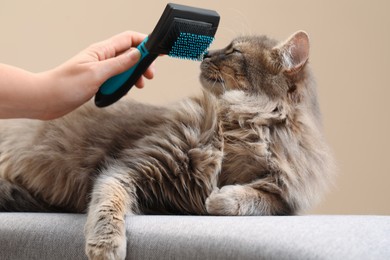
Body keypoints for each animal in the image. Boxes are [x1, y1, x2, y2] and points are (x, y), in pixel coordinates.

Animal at [0, 31, 336, 260]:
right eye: (227, 46)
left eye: (234, 51)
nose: (206, 53)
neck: (243, 127)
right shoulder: (130, 167)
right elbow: (109, 204)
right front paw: (106, 247)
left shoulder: (285, 196)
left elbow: (256, 198)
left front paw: (219, 199)